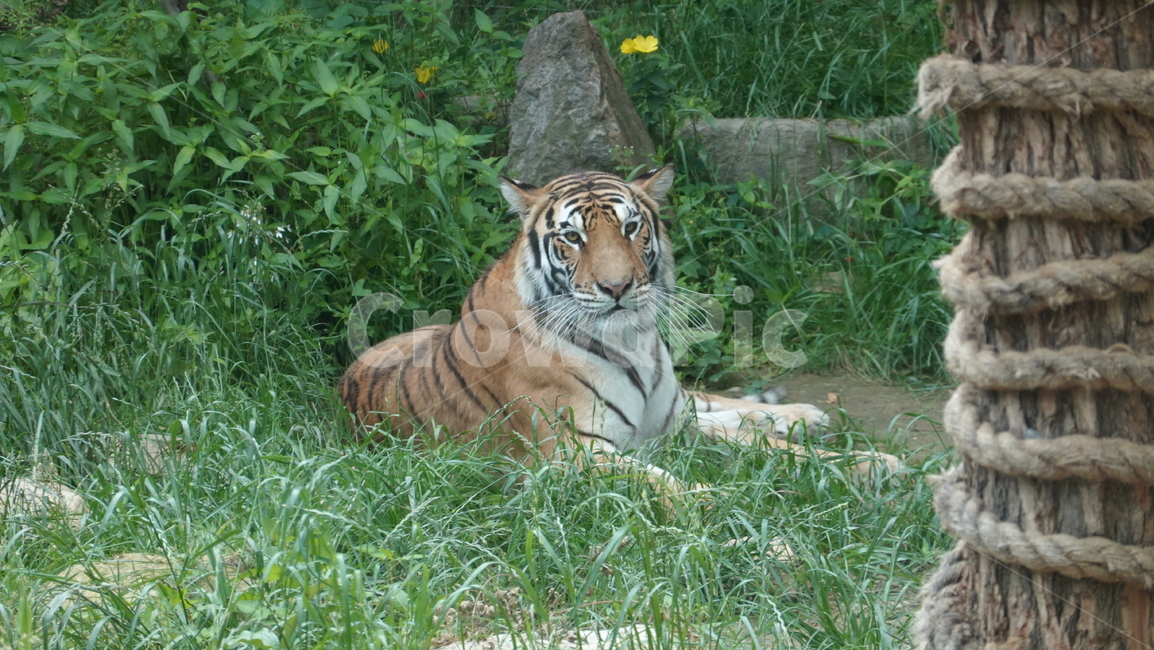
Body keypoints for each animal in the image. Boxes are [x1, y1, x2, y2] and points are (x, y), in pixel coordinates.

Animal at [339, 166, 898, 496]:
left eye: (631, 227)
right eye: (571, 237)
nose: (617, 287)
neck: (635, 343)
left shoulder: (669, 429)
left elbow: (790, 456)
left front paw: (872, 464)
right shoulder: (576, 450)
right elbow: (673, 485)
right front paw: (719, 516)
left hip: (680, 409)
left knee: (717, 406)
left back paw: (801, 415)